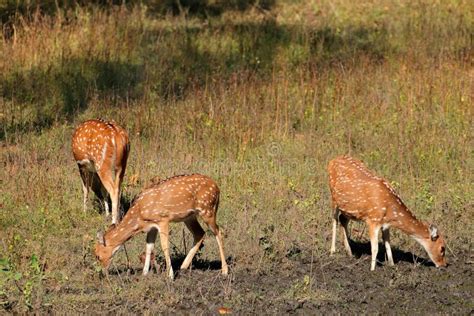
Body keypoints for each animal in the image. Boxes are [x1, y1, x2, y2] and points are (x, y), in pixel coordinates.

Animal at [94, 173, 228, 278]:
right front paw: (144, 273)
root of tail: (217, 187)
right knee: (200, 233)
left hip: (208, 209)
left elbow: (164, 246)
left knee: (218, 232)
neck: (139, 215)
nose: (103, 273)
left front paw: (170, 275)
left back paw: (225, 270)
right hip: (189, 217)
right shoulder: (151, 226)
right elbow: (149, 247)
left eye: (97, 255)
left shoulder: (163, 219)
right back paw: (183, 266)